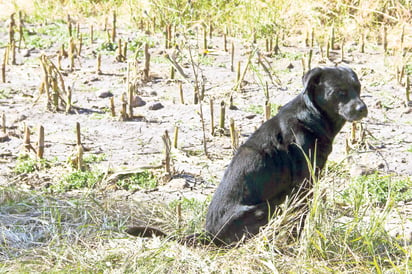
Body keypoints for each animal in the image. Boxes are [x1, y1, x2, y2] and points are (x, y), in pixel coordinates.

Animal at [204, 66, 368, 244]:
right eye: (339, 92)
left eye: (358, 88)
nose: (363, 109)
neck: (312, 115)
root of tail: (208, 236)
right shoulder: (304, 184)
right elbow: (300, 217)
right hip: (265, 209)